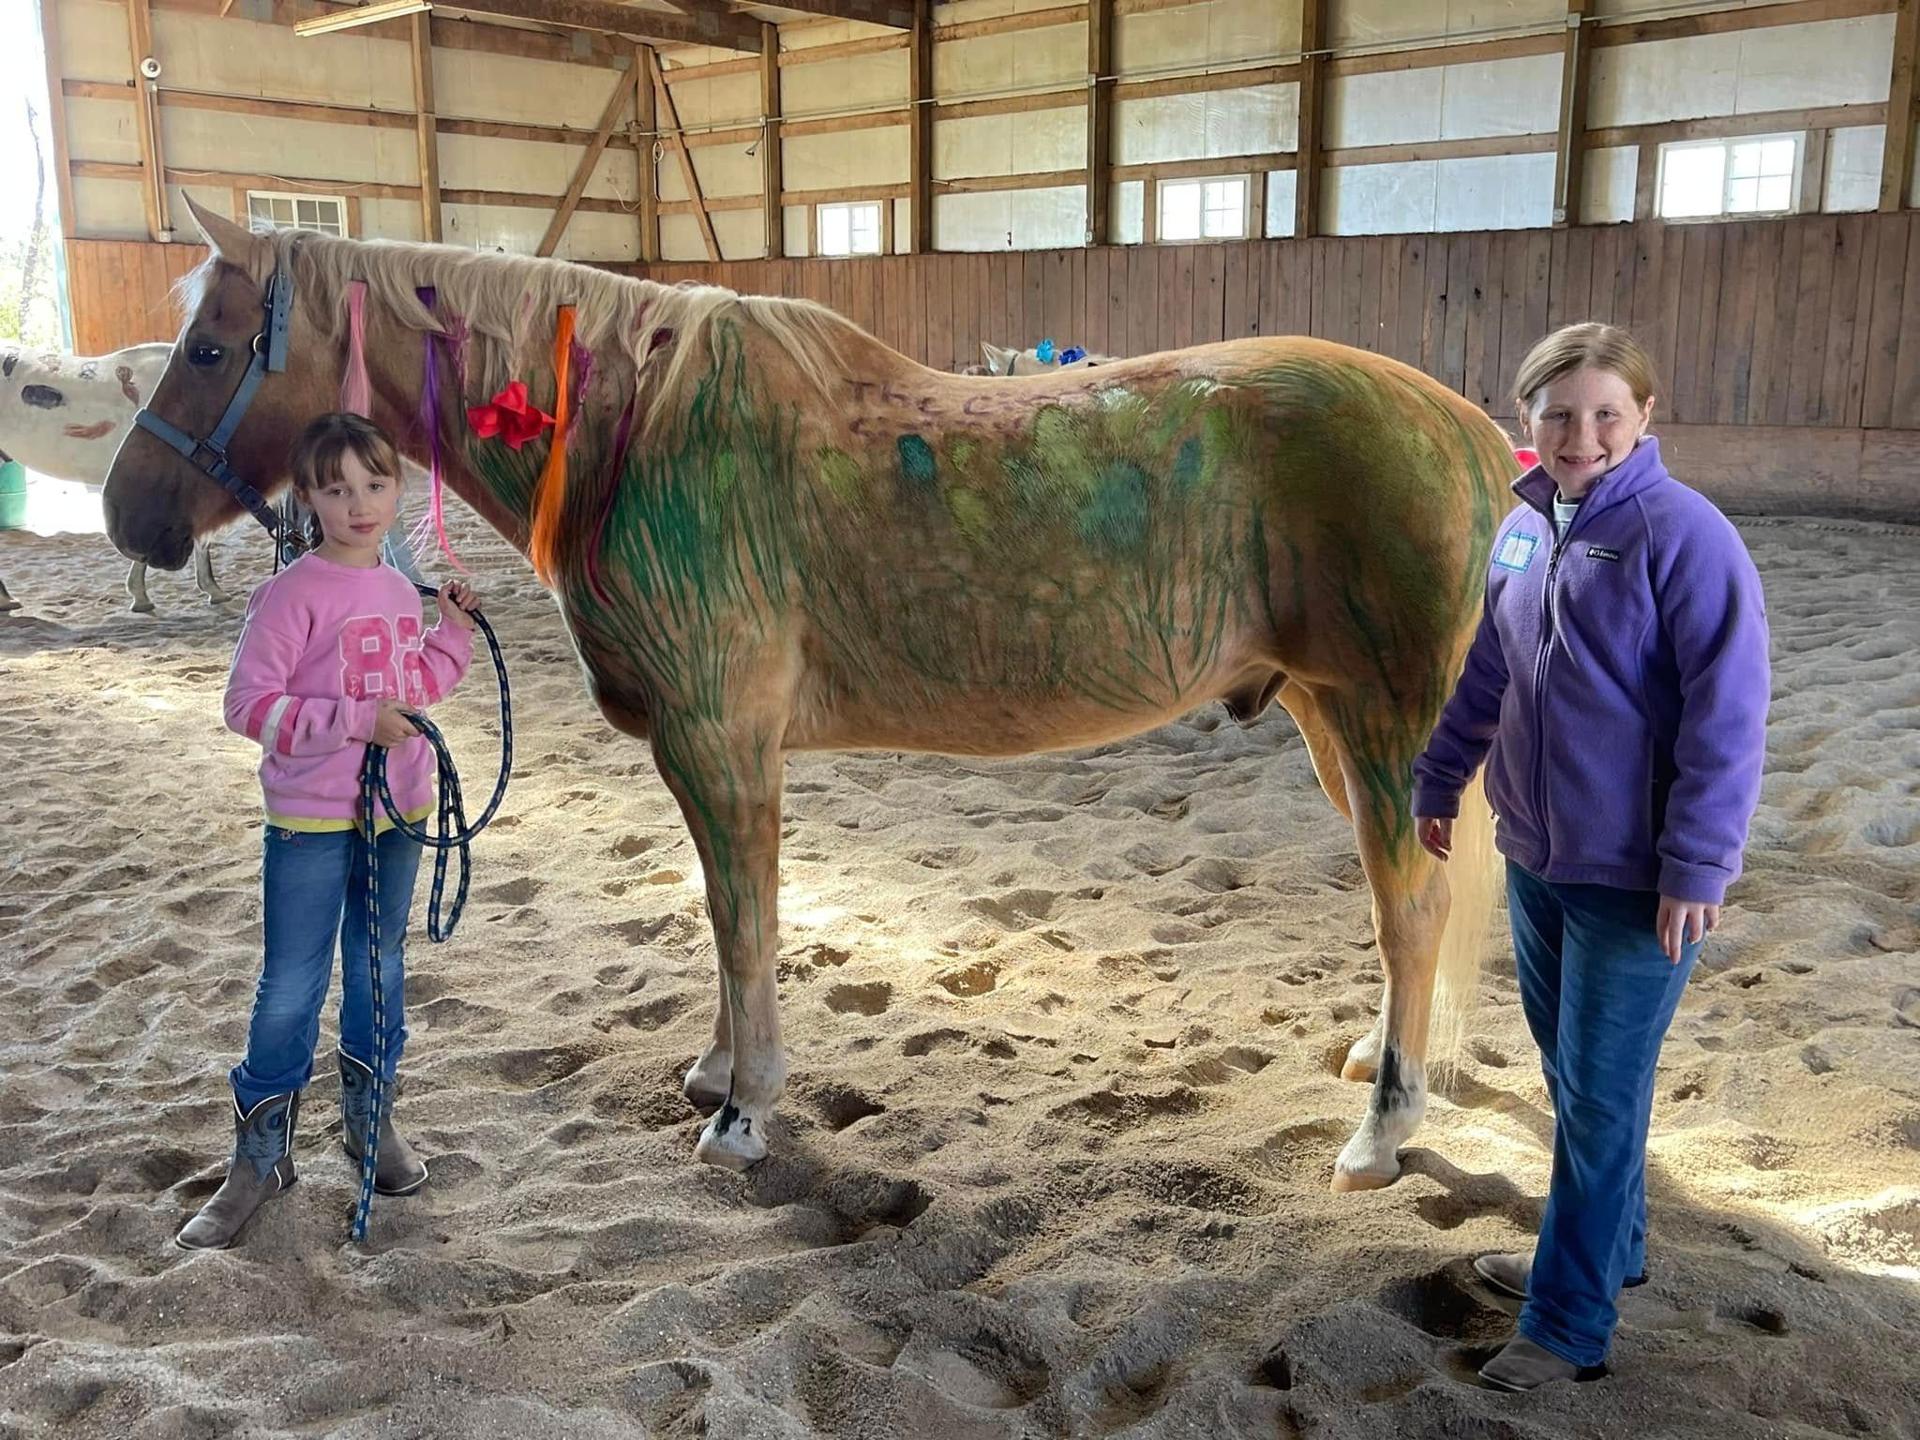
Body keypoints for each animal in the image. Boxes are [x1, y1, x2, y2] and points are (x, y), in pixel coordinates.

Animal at [103, 197, 1508, 1192]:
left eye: (212, 347)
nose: (129, 519)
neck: (637, 435)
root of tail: (1473, 432)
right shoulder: (702, 753)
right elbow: (726, 916)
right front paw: (717, 1071)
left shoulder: (723, 745)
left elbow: (743, 918)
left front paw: (744, 1111)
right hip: (1329, 720)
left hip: (1384, 728)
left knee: (1413, 910)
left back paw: (1381, 1128)